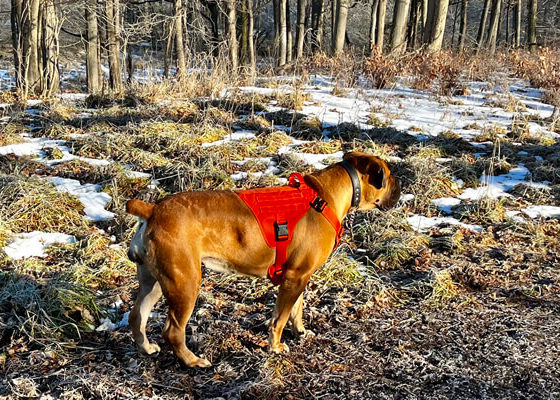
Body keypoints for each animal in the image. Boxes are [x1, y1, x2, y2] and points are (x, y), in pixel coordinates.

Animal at [126, 152, 398, 368]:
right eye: (388, 176)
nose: (401, 184)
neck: (326, 196)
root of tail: (152, 210)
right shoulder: (294, 277)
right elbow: (279, 318)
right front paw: (275, 347)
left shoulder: (299, 276)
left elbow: (297, 309)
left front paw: (300, 331)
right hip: (184, 283)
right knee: (172, 331)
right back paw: (192, 361)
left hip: (154, 281)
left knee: (137, 315)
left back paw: (145, 348)